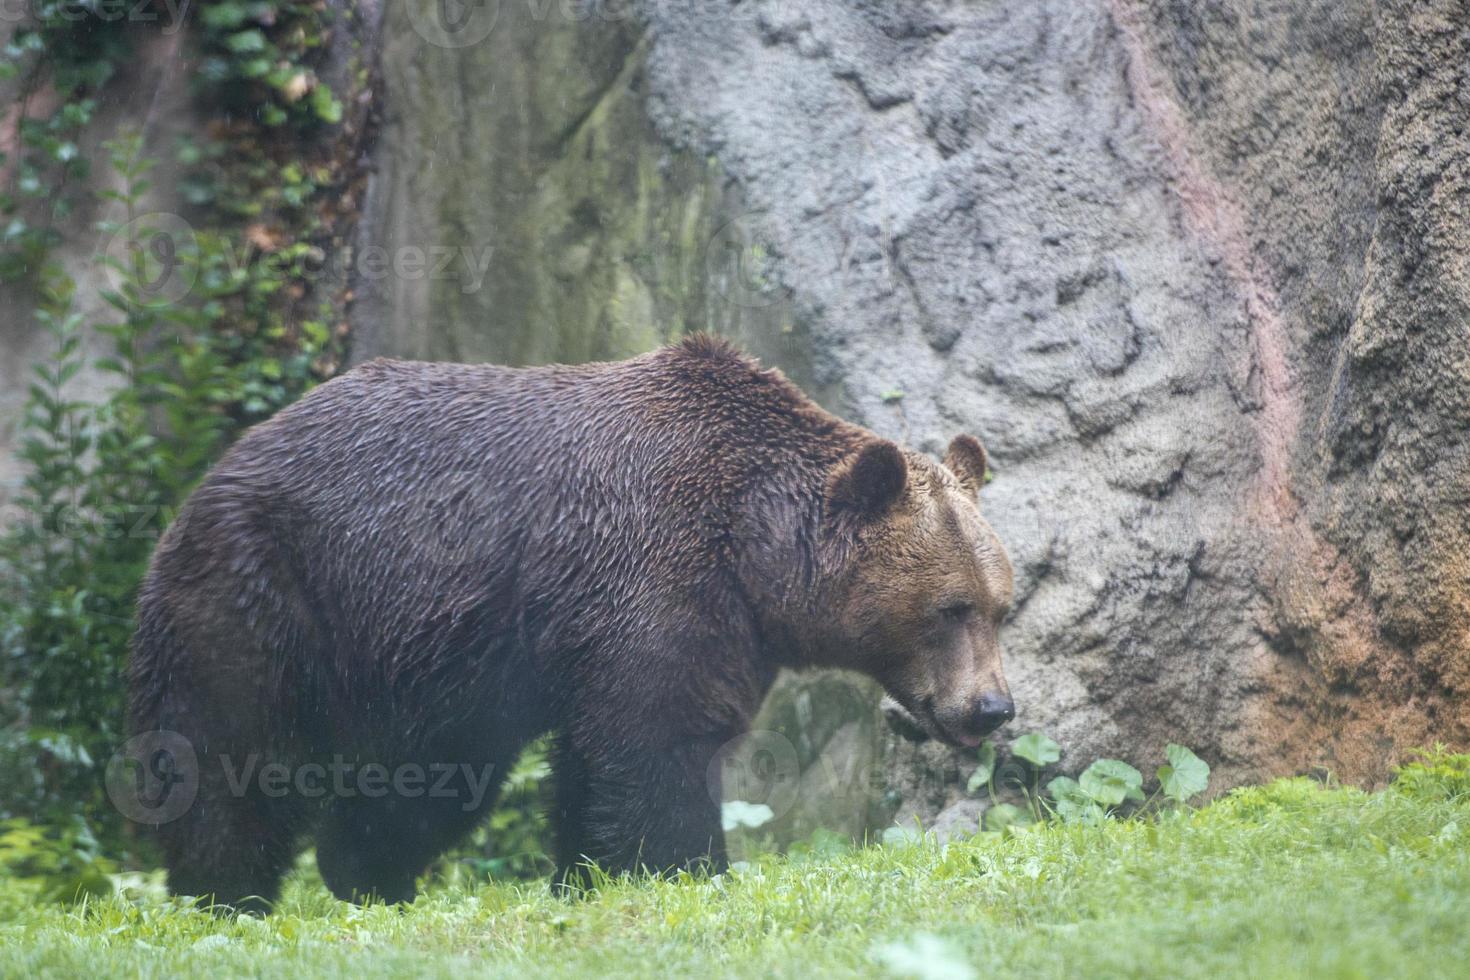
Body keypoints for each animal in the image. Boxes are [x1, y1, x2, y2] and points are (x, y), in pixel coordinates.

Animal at [129, 337, 1011, 910]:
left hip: (429, 657)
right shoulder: (657, 573)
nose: (993, 708)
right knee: (228, 754)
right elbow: (660, 742)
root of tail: (218, 468)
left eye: (1001, 603)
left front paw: (588, 877)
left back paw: (370, 878)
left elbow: (600, 761)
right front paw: (690, 870)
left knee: (430, 776)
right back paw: (225, 893)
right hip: (271, 594)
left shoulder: (662, 624)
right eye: (950, 608)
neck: (754, 546)